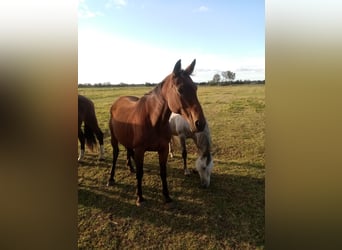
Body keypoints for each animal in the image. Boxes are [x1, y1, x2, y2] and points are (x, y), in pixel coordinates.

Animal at [109, 59, 206, 206]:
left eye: (195, 88)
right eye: (180, 89)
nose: (200, 123)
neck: (153, 121)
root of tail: (117, 102)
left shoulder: (163, 149)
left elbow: (162, 172)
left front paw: (166, 196)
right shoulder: (140, 150)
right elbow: (140, 173)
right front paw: (139, 197)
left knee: (128, 151)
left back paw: (130, 168)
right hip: (114, 139)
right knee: (115, 155)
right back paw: (111, 178)